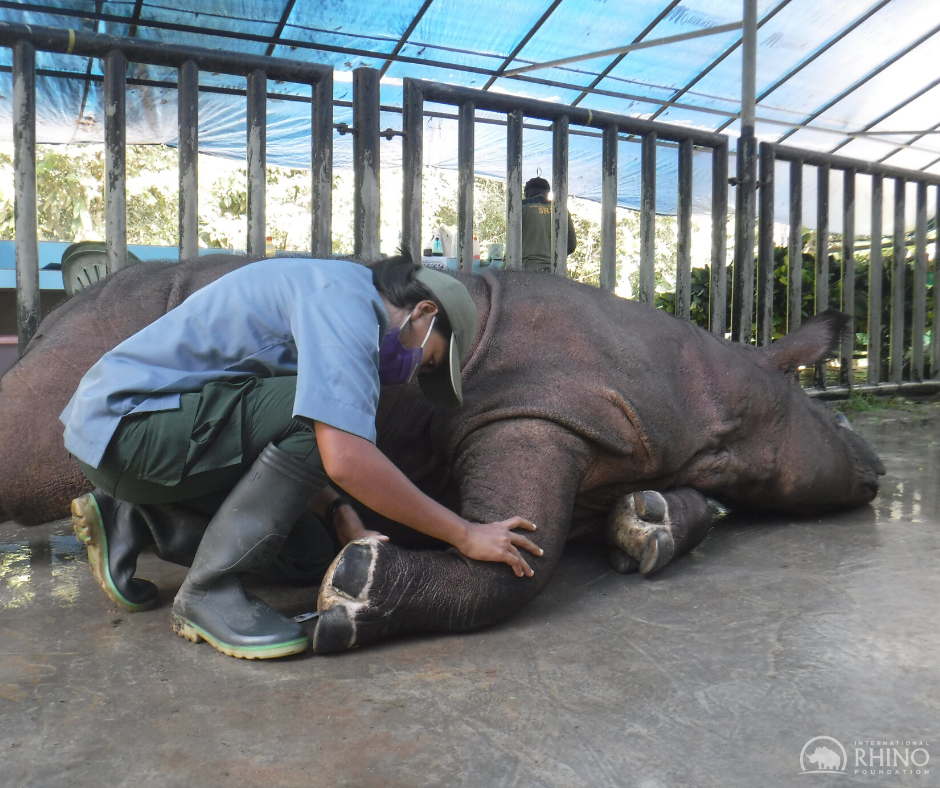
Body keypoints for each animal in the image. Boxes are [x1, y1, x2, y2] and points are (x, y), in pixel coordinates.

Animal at [0, 254, 880, 652]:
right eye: (838, 431)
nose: (876, 470)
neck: (726, 390)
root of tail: (54, 314)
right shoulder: (535, 410)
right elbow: (518, 568)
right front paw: (357, 590)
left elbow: (675, 512)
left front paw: (651, 526)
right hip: (96, 340)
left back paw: (117, 546)